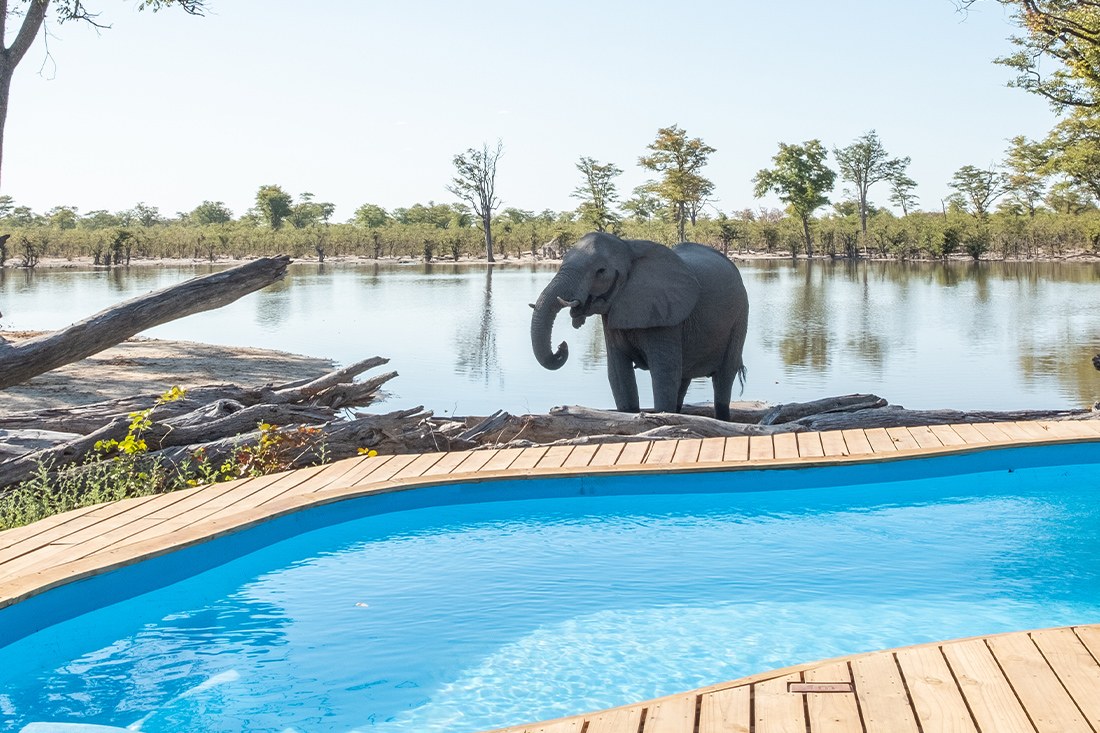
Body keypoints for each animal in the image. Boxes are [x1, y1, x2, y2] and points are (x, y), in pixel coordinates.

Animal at [530, 231, 749, 420]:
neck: (629, 248)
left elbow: (664, 374)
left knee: (723, 378)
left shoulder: (665, 316)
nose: (562, 346)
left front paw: (661, 416)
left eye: (601, 272)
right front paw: (630, 416)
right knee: (684, 378)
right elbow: (617, 373)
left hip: (740, 317)